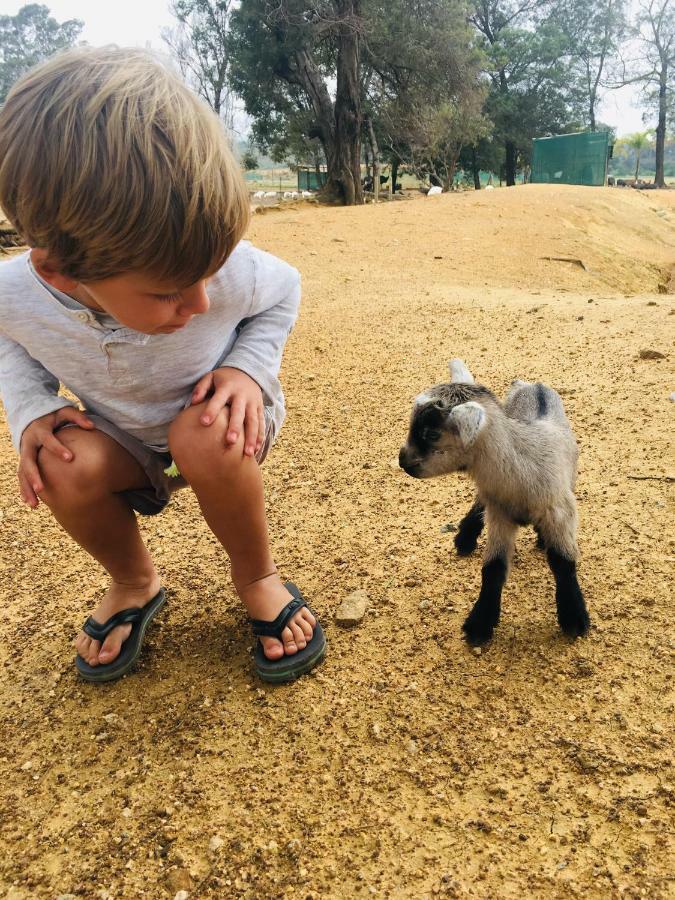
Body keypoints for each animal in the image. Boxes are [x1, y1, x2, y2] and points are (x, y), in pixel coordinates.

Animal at [402, 358, 592, 648]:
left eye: (432, 434)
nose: (403, 460)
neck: (521, 467)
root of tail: (532, 384)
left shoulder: (560, 511)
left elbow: (563, 562)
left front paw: (574, 617)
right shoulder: (500, 515)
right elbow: (493, 568)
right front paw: (480, 624)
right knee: (478, 503)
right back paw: (465, 538)